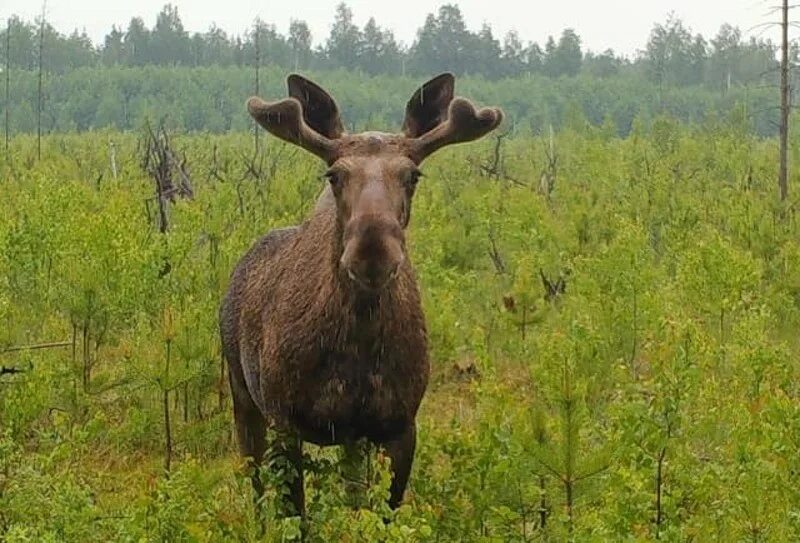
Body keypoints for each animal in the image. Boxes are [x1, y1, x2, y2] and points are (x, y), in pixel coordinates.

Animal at [219, 73, 504, 520]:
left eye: (413, 175)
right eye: (334, 175)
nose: (373, 251)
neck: (359, 340)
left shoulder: (398, 425)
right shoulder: (284, 418)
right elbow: (293, 516)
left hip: (350, 440)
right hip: (242, 393)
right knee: (256, 488)